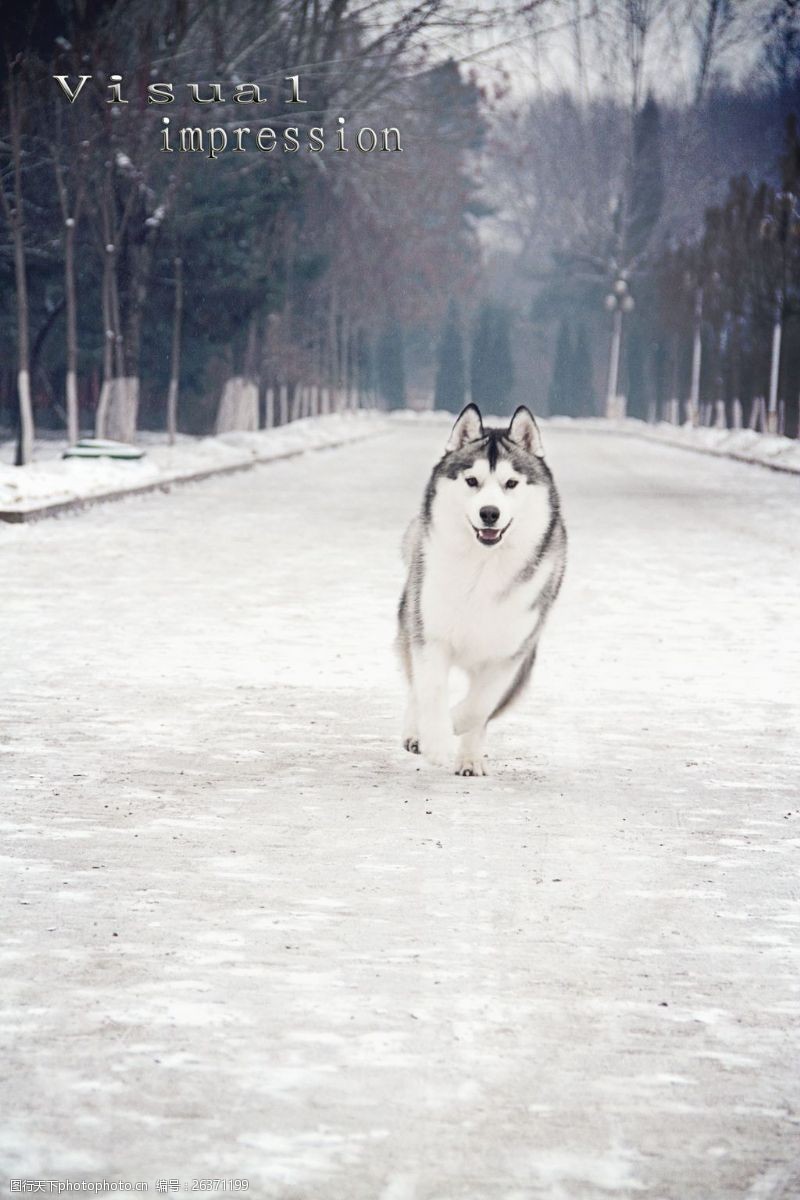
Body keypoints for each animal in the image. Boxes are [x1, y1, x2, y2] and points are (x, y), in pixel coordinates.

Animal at [398, 403, 566, 777]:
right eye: (472, 481)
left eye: (511, 483)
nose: (490, 513)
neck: (483, 568)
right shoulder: (431, 633)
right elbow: (431, 690)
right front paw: (436, 739)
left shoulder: (512, 651)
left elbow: (480, 706)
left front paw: (455, 729)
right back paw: (416, 733)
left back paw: (470, 759)